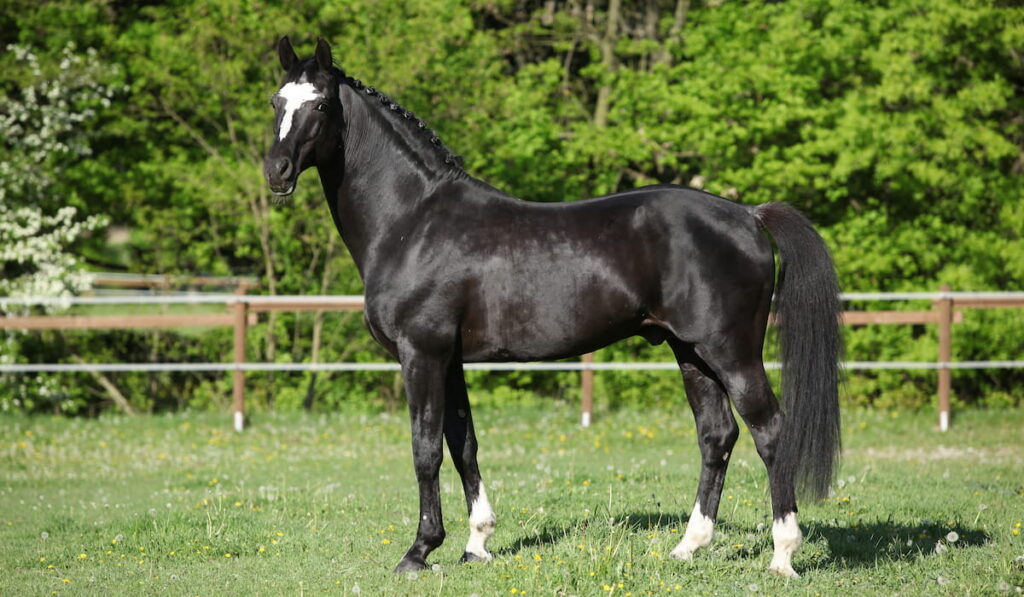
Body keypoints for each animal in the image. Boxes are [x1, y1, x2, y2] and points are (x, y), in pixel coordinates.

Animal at [264, 38, 839, 577]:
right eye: (277, 101)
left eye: (320, 105)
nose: (276, 171)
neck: (414, 221)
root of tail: (748, 215)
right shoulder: (450, 360)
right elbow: (463, 444)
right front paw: (477, 544)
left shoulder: (421, 353)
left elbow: (425, 449)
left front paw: (419, 551)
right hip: (690, 353)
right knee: (717, 436)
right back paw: (686, 548)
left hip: (731, 353)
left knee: (770, 431)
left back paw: (783, 555)